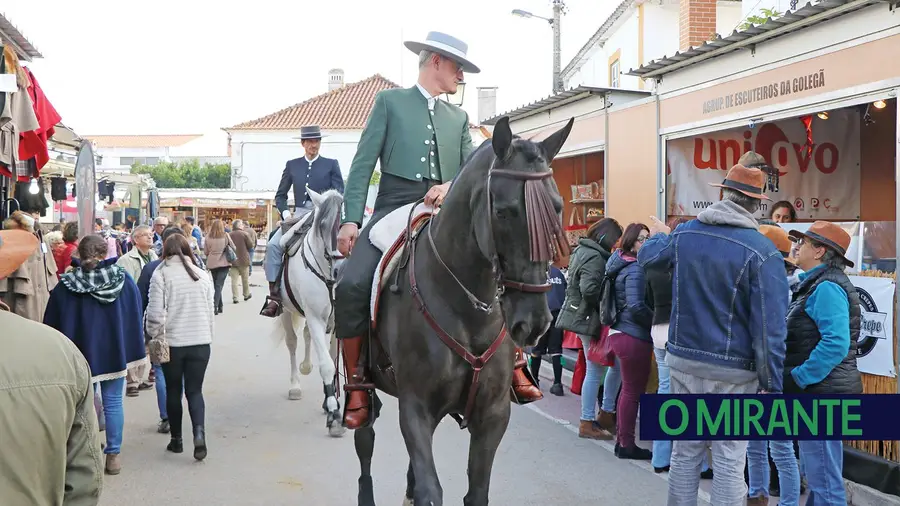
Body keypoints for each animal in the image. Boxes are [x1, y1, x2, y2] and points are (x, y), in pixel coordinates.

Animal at [274, 188, 344, 436]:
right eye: (321, 225)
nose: (339, 269)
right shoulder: (315, 318)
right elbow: (326, 364)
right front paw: (334, 414)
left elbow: (332, 358)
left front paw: (330, 401)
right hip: (285, 310)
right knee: (293, 343)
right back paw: (295, 384)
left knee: (305, 337)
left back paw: (306, 367)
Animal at [354, 115, 572, 506]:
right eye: (503, 211)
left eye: (557, 207)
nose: (535, 322)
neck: (470, 310)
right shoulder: (416, 408)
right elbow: (430, 491)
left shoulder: (493, 415)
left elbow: (475, 493)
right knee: (365, 437)